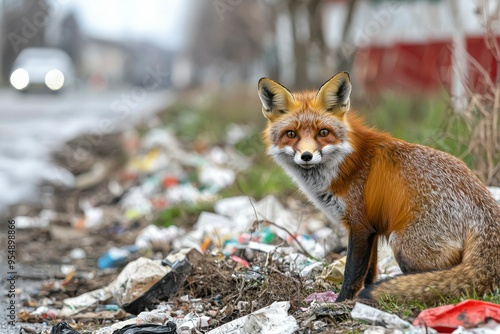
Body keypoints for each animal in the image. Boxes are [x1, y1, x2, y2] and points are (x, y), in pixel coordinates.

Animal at [258, 72, 500, 302]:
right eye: (291, 134)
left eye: (323, 133)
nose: (306, 156)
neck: (346, 163)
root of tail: (485, 204)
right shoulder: (371, 229)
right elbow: (369, 273)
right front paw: (360, 298)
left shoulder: (359, 225)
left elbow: (352, 273)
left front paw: (340, 302)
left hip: (405, 248)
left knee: (441, 278)